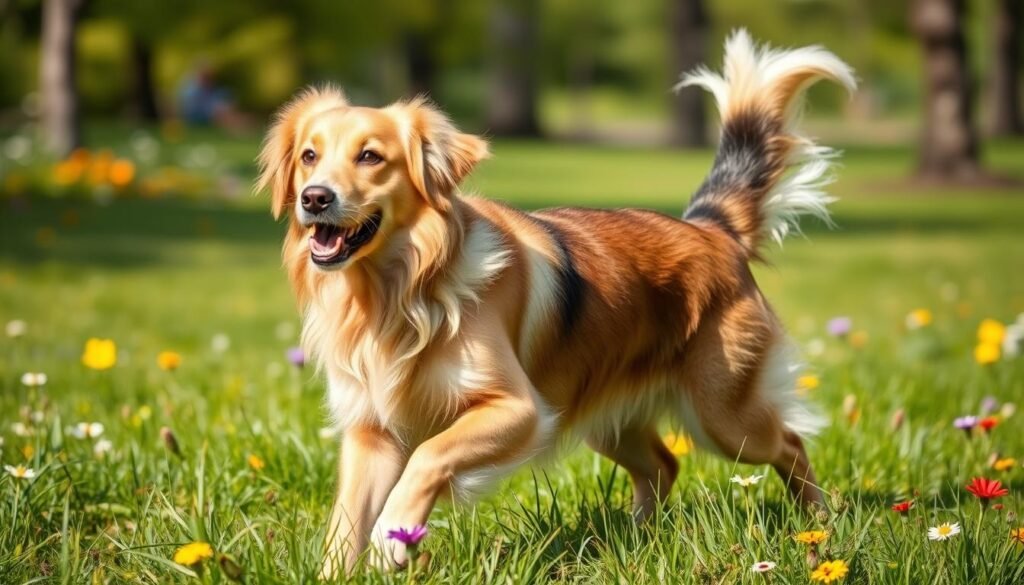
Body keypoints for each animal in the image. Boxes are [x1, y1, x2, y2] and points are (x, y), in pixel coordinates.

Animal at [256, 30, 856, 577]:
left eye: (371, 156)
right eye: (309, 156)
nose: (314, 197)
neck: (395, 292)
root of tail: (711, 228)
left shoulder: (520, 410)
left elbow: (429, 457)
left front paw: (392, 539)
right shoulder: (371, 431)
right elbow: (345, 521)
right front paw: (347, 563)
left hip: (725, 417)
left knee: (791, 444)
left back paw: (819, 524)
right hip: (608, 419)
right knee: (663, 466)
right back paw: (636, 537)